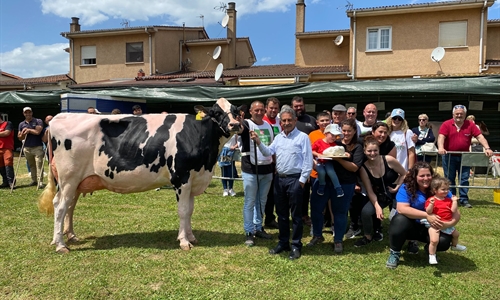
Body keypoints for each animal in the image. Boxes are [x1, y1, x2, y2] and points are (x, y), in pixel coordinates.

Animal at [39, 98, 242, 253]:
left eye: (235, 111)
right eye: (216, 112)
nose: (235, 125)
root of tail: (59, 117)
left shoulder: (193, 180)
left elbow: (190, 210)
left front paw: (191, 237)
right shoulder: (181, 179)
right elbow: (183, 211)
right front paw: (184, 241)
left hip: (76, 182)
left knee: (70, 206)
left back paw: (70, 236)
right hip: (68, 179)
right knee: (60, 206)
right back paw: (60, 244)